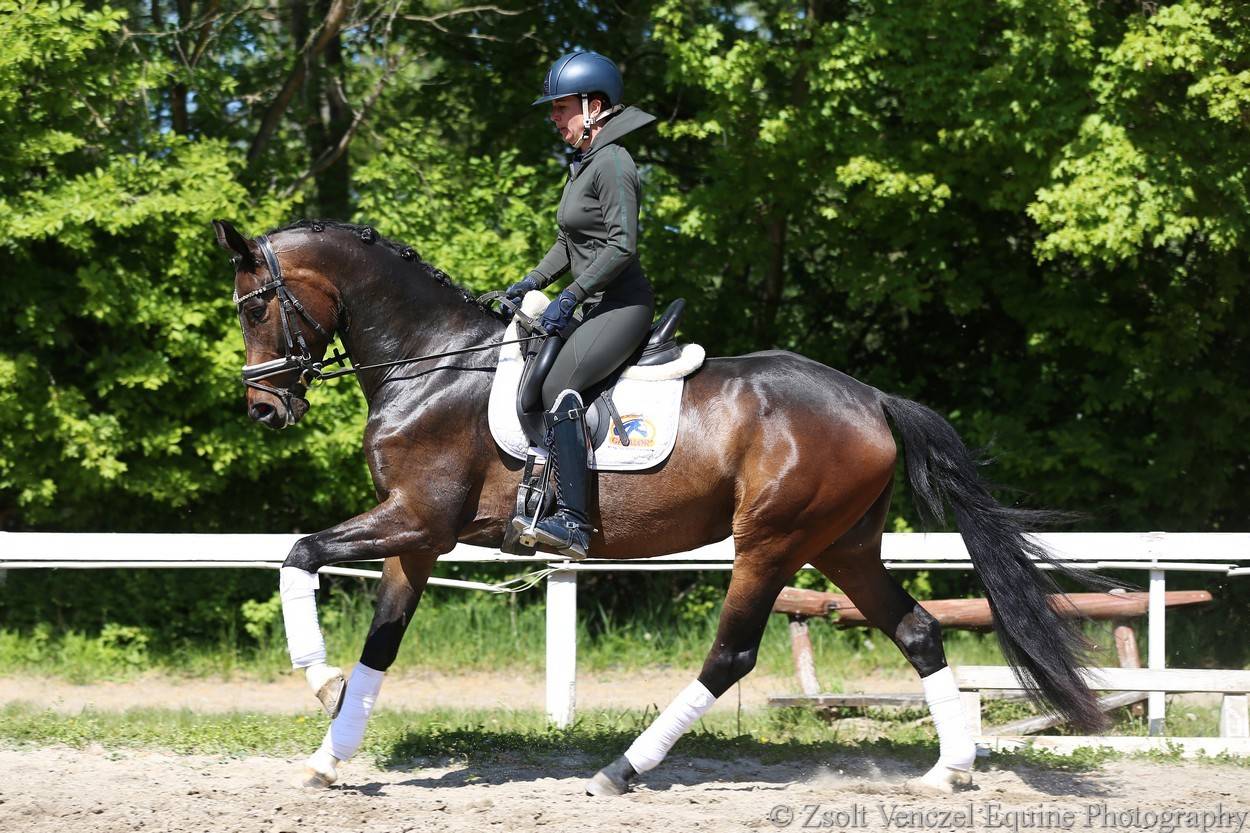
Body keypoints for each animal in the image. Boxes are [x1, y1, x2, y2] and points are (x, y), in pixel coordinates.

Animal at [214, 217, 1109, 796]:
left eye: (256, 306)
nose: (263, 410)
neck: (428, 361)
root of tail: (871, 399)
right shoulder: (420, 535)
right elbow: (382, 641)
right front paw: (332, 751)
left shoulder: (418, 518)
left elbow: (298, 553)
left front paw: (318, 678)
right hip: (843, 544)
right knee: (918, 629)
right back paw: (947, 771)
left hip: (772, 541)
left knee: (731, 654)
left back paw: (620, 769)